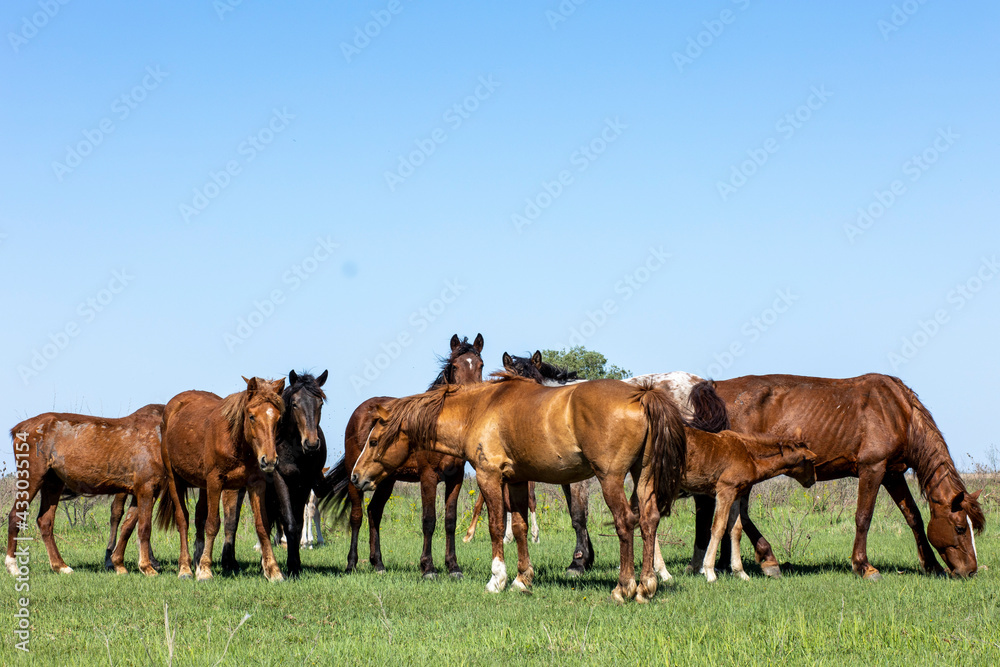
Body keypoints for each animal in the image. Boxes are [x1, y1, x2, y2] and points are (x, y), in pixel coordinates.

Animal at [6, 404, 166, 576]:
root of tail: (21, 427)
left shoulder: (142, 492)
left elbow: (128, 526)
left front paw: (119, 564)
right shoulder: (146, 489)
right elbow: (144, 527)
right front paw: (147, 567)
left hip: (52, 484)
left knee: (45, 522)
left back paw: (60, 566)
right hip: (32, 479)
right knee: (15, 516)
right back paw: (13, 567)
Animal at [154, 376, 286, 580]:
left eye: (278, 419)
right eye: (252, 416)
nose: (269, 460)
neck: (236, 443)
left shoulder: (254, 484)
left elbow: (261, 525)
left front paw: (273, 570)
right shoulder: (215, 483)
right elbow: (213, 524)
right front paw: (205, 571)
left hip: (202, 486)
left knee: (198, 517)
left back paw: (196, 563)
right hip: (173, 479)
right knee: (183, 520)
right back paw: (185, 568)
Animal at [324, 334, 484, 580]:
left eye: (480, 365)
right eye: (454, 366)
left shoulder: (455, 479)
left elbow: (450, 521)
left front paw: (453, 567)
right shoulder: (428, 477)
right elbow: (429, 520)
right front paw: (428, 568)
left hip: (385, 480)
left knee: (374, 512)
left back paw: (378, 564)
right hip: (356, 477)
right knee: (357, 516)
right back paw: (351, 564)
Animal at [350, 376, 688, 604]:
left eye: (374, 441)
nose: (356, 477)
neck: (479, 408)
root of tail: (640, 395)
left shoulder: (489, 477)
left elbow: (496, 526)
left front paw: (496, 579)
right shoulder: (516, 480)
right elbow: (520, 528)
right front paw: (522, 579)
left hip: (611, 479)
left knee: (626, 523)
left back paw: (624, 587)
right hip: (643, 477)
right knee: (649, 520)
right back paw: (647, 585)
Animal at [708, 374, 988, 580]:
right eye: (960, 528)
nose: (970, 571)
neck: (899, 413)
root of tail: (715, 388)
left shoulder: (893, 474)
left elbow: (914, 518)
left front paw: (931, 565)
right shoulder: (872, 469)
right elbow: (863, 517)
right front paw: (864, 566)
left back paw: (731, 563)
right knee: (738, 516)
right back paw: (764, 559)